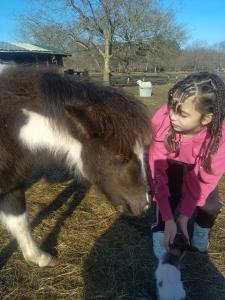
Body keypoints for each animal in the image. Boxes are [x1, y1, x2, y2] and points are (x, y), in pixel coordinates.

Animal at [0, 66, 151, 268]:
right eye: (120, 156)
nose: (145, 206)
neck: (9, 128)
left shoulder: (12, 184)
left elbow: (19, 221)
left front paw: (38, 258)